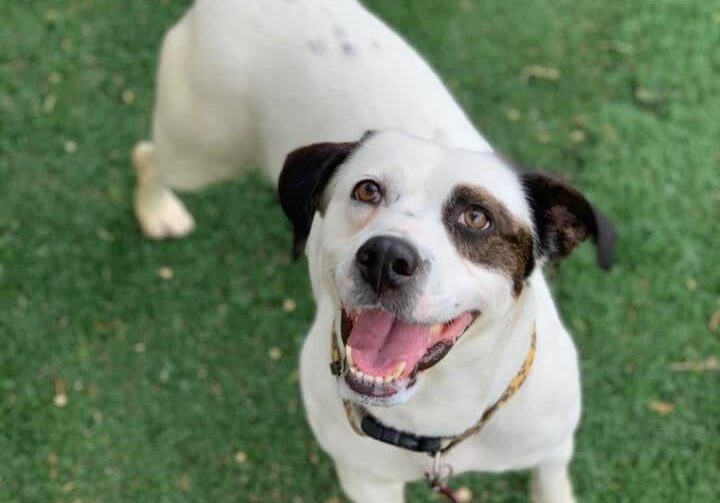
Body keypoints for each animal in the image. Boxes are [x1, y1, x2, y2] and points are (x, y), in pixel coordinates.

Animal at [134, 1, 612, 502]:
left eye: (477, 217)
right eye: (366, 190)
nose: (385, 258)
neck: (438, 418)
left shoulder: (552, 449)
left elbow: (552, 484)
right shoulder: (366, 480)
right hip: (201, 150)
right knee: (147, 156)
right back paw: (158, 210)